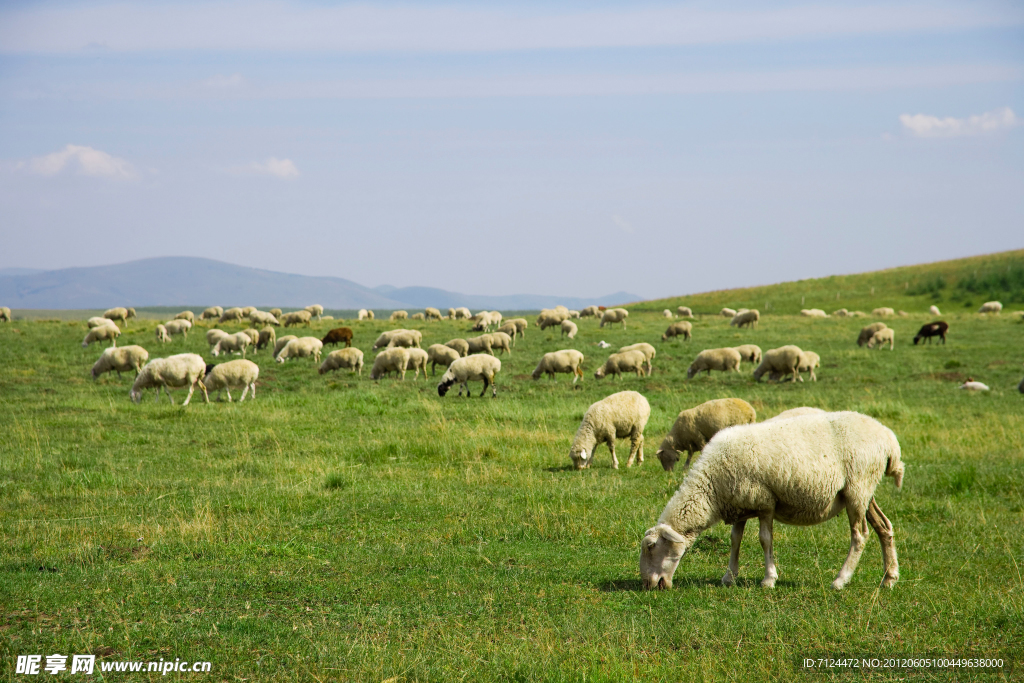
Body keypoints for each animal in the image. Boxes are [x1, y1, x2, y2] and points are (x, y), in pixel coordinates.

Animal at [638, 411, 905, 593]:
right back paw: (889, 578)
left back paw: (840, 580)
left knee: (860, 535)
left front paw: (769, 579)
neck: (712, 487)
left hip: (857, 488)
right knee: (884, 527)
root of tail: (889, 439)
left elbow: (765, 540)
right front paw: (729, 576)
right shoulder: (740, 505)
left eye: (651, 546)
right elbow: (735, 540)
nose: (648, 584)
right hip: (865, 491)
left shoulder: (764, 502)